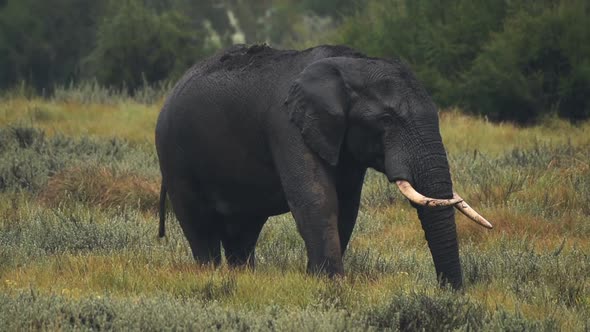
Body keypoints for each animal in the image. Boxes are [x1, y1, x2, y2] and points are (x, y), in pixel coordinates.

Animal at [155, 43, 492, 288]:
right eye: (387, 120)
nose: (450, 291)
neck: (347, 67)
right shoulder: (288, 125)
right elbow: (317, 198)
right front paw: (331, 282)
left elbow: (347, 205)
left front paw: (321, 279)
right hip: (173, 153)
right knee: (198, 222)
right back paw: (210, 274)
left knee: (244, 226)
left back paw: (242, 276)